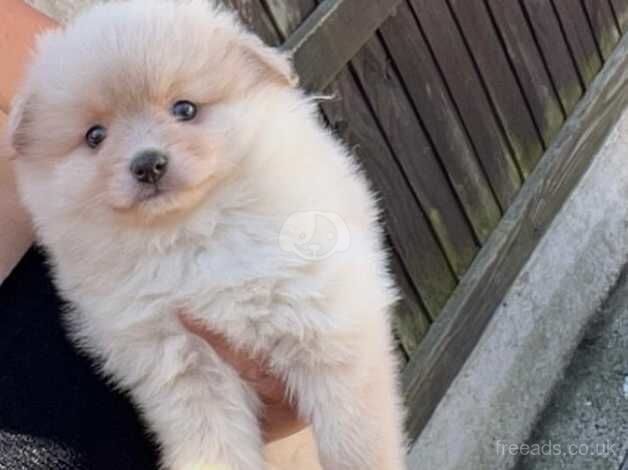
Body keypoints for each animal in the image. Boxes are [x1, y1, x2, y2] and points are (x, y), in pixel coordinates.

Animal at [8, 1, 408, 468]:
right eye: (94, 136)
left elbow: (354, 439)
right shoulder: (185, 370)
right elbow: (212, 447)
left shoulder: (327, 324)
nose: (147, 164)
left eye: (184, 109)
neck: (191, 235)